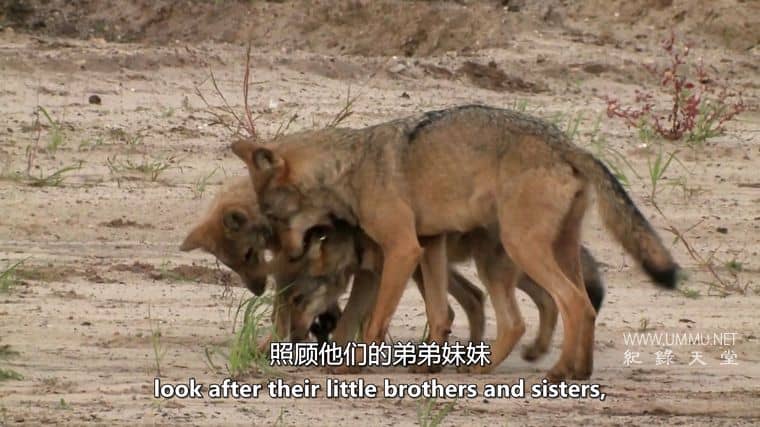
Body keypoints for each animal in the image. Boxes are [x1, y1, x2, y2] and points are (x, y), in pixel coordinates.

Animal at [231, 105, 678, 380]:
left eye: (274, 216)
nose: (290, 254)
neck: (350, 167)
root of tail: (569, 144)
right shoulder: (429, 245)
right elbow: (440, 313)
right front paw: (428, 364)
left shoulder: (403, 249)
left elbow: (375, 321)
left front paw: (352, 365)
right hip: (544, 253)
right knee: (573, 306)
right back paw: (576, 371)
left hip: (517, 252)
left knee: (556, 308)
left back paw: (544, 371)